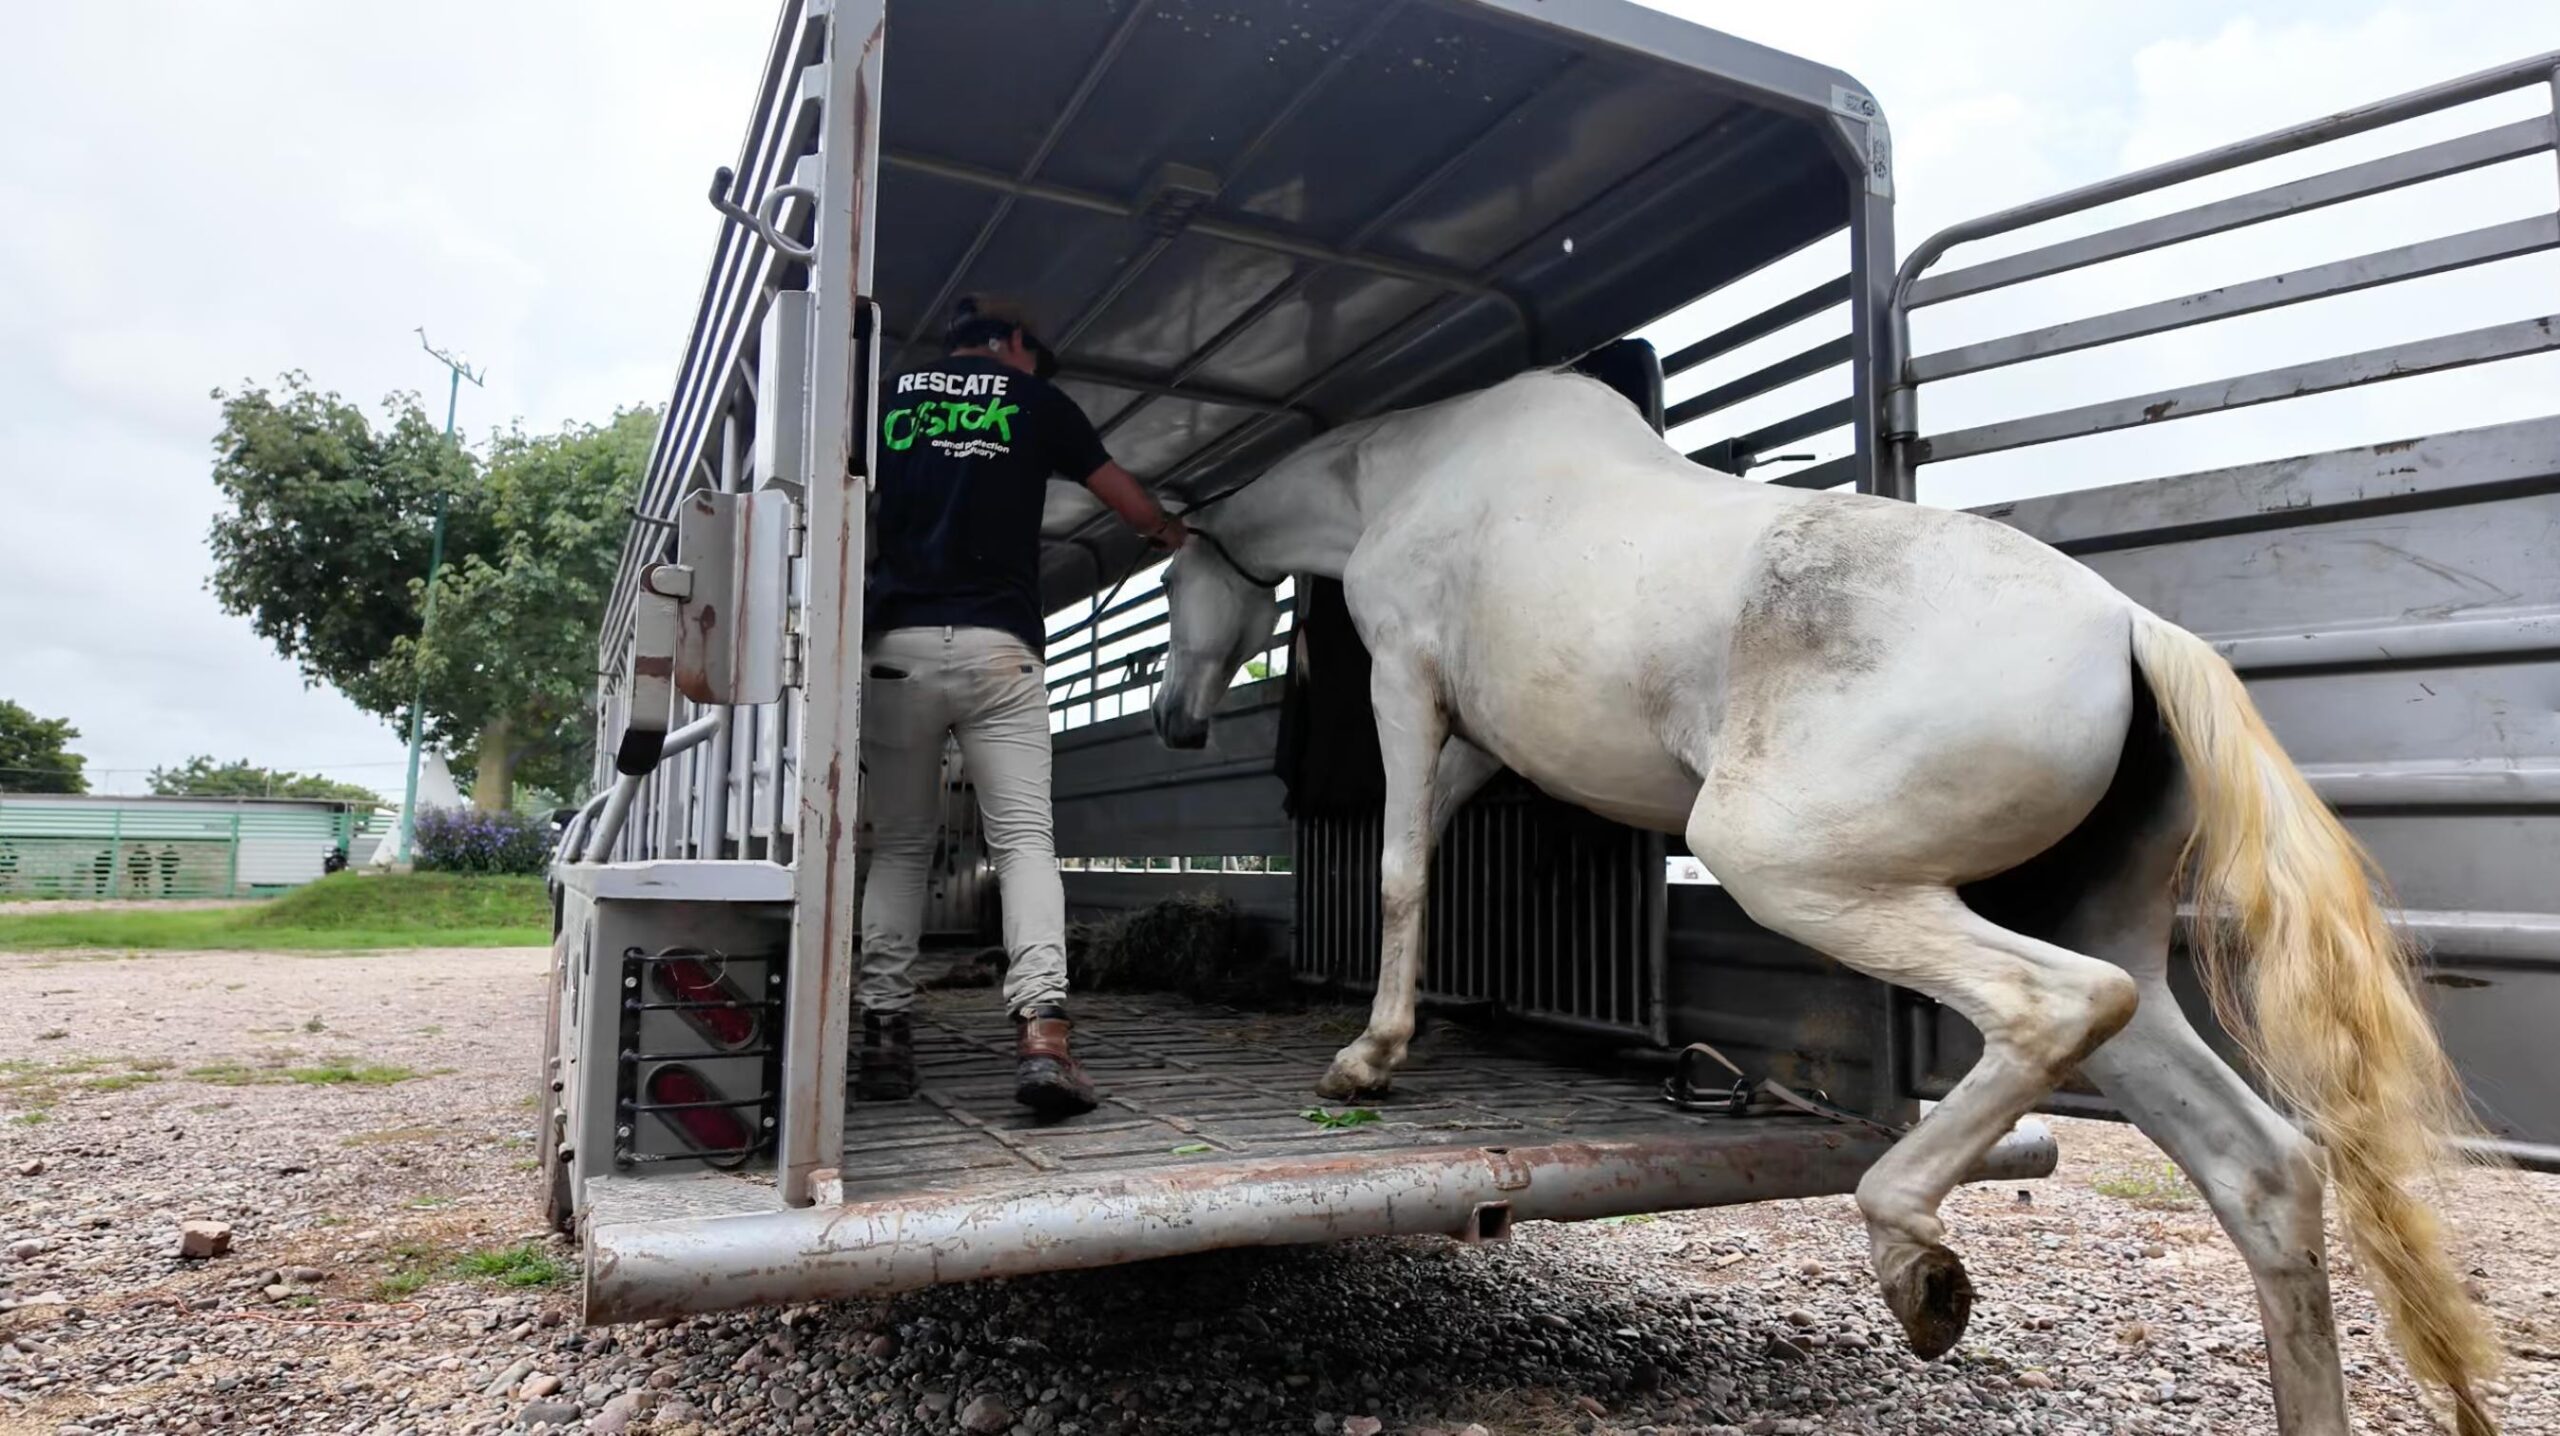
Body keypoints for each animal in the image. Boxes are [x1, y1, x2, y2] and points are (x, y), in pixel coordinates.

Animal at [1144, 369, 2497, 1435]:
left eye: (1166, 590)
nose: (1174, 720)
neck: (1412, 470)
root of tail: (2125, 626)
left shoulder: (1409, 686)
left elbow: (1400, 868)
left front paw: (1368, 1057)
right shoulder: (1476, 741)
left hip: (1797, 870)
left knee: (2057, 1008)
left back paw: (1916, 1262)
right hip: (2086, 943)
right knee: (2259, 1168)